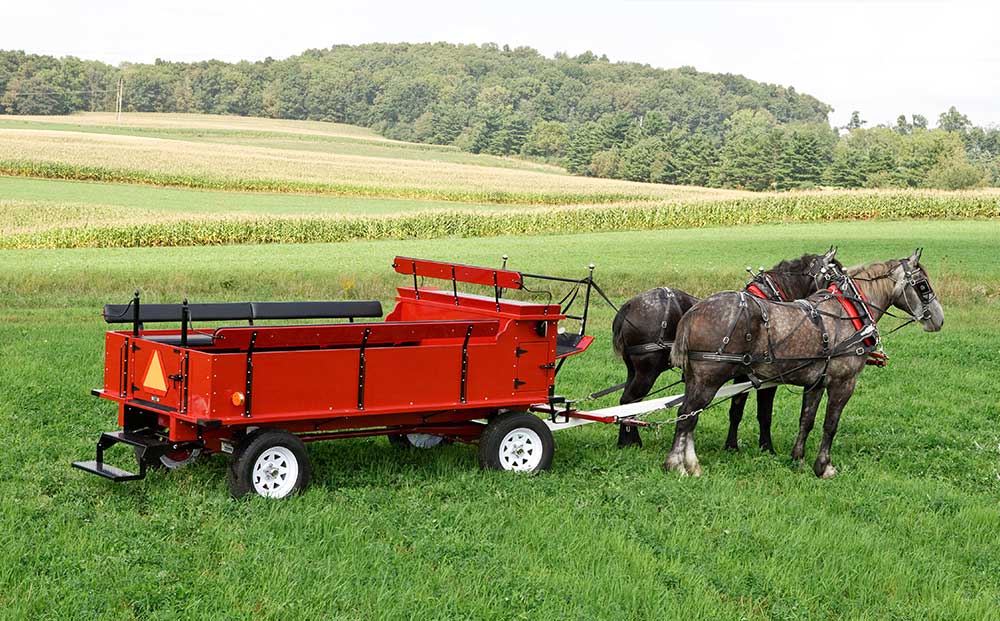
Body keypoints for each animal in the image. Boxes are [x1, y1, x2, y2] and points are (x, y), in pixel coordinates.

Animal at [610, 248, 841, 449]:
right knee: (630, 400)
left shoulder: (743, 376)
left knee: (625, 402)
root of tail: (628, 306)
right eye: (836, 274)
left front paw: (731, 446)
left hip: (634, 370)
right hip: (648, 370)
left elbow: (736, 410)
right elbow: (764, 413)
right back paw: (630, 442)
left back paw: (626, 440)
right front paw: (767, 447)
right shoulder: (767, 378)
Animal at [667, 249, 944, 478]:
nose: (938, 319)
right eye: (923, 286)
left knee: (690, 416)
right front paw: (824, 466)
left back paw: (690, 464)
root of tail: (693, 312)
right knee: (686, 415)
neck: (850, 311)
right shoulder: (843, 382)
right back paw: (677, 465)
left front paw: (797, 458)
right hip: (710, 379)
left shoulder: (816, 383)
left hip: (697, 379)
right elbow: (830, 424)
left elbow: (806, 420)